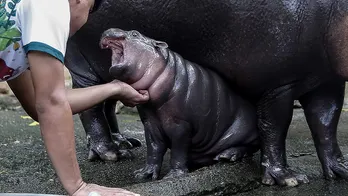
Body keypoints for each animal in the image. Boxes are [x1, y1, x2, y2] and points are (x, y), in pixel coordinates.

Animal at [99, 28, 260, 180]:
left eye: (135, 34)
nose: (108, 30)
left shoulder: (181, 125)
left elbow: (178, 150)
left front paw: (173, 175)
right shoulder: (150, 123)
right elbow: (153, 149)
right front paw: (144, 174)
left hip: (245, 130)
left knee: (249, 147)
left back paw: (226, 156)